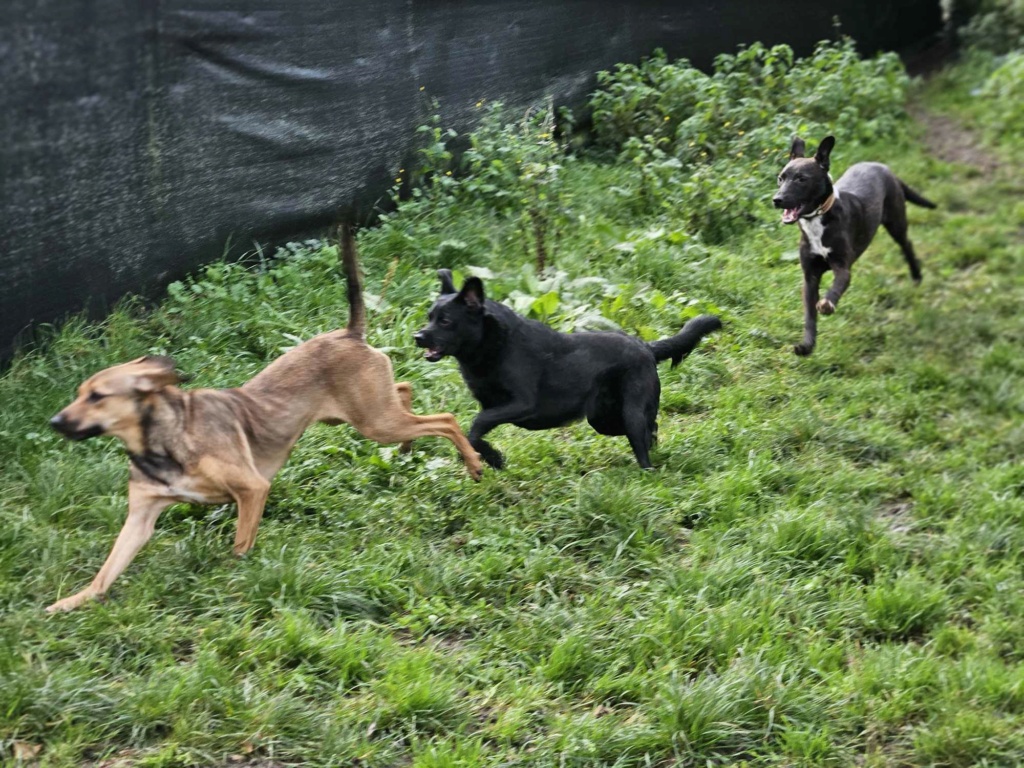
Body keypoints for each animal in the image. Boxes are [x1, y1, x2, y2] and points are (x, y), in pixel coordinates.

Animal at [46, 228, 481, 614]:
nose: (54, 421)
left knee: (445, 419)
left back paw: (473, 464)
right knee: (405, 390)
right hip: (369, 414)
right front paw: (68, 603)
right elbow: (105, 573)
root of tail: (349, 333)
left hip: (375, 422)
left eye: (97, 397)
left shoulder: (251, 489)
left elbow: (240, 544)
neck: (160, 441)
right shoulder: (140, 518)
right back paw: (408, 449)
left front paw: (234, 578)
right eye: (79, 393)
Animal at [413, 274, 720, 473]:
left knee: (643, 438)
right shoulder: (492, 404)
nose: (417, 336)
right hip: (603, 419)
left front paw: (494, 458)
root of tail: (644, 346)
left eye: (445, 321)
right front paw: (488, 458)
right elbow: (469, 433)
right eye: (429, 317)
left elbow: (476, 426)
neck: (493, 344)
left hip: (629, 412)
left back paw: (648, 470)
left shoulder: (521, 404)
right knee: (650, 428)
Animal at [774, 136, 937, 358]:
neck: (818, 220)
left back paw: (916, 275)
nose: (776, 200)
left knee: (907, 245)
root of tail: (882, 166)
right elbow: (809, 315)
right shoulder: (810, 277)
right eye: (780, 178)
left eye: (801, 179)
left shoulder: (842, 268)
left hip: (896, 222)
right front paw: (807, 346)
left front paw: (827, 304)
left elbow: (836, 287)